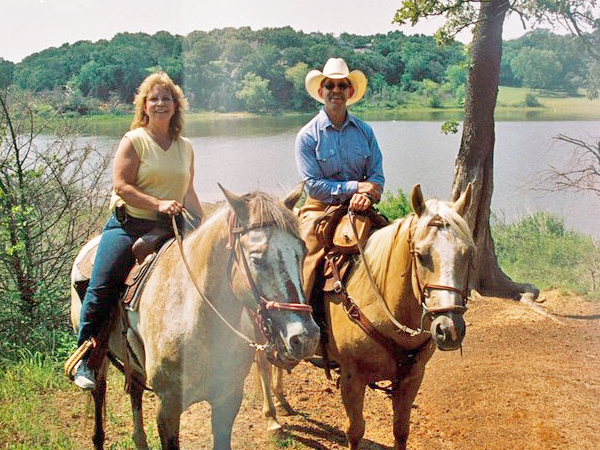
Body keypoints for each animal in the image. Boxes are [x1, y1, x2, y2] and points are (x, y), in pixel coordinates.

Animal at [68, 185, 322, 448]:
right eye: (256, 258)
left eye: (303, 251)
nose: (306, 338)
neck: (196, 320)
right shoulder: (167, 407)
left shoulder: (227, 400)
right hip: (100, 354)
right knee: (99, 390)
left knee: (135, 390)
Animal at [258, 184, 474, 450]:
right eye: (421, 255)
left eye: (468, 253)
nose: (449, 329)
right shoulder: (352, 378)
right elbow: (355, 431)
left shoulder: (412, 378)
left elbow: (401, 431)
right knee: (262, 363)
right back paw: (272, 421)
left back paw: (282, 403)